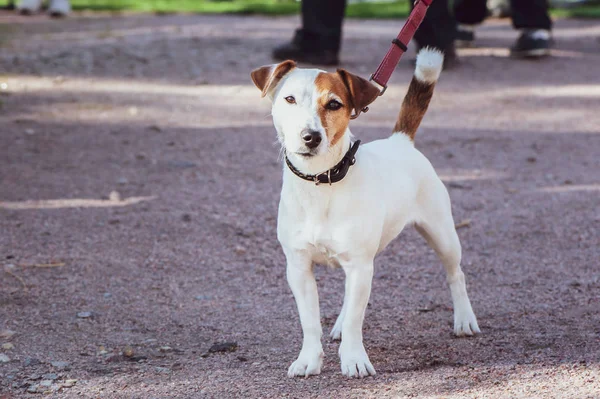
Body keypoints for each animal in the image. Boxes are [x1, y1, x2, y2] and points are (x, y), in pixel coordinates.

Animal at [251, 48, 480, 380]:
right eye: (289, 99)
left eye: (334, 104)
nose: (311, 136)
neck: (322, 182)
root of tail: (400, 140)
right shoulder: (299, 267)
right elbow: (310, 321)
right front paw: (309, 359)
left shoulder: (359, 265)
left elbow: (355, 321)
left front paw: (354, 359)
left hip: (442, 235)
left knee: (455, 274)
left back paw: (464, 319)